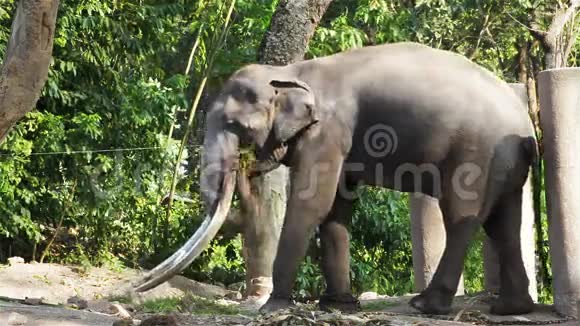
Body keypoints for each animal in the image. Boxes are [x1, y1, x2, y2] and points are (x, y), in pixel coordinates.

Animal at [134, 42, 536, 318]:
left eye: (234, 125)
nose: (138, 288)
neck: (293, 71)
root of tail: (526, 127)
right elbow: (336, 210)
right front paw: (339, 305)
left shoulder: (327, 131)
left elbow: (311, 203)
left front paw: (273, 307)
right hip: (504, 163)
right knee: (503, 221)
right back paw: (511, 308)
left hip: (475, 153)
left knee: (462, 217)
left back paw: (426, 305)